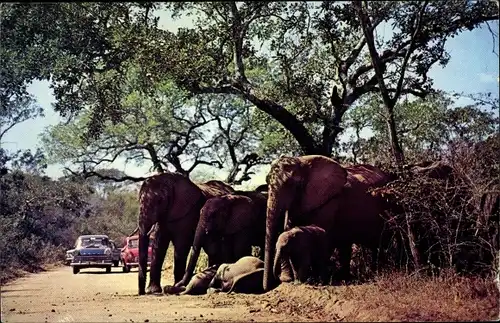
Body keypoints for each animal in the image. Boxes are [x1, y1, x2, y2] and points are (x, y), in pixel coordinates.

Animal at [264, 156, 392, 292]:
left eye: (293, 185)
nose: (267, 287)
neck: (302, 162)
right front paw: (288, 279)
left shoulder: (330, 202)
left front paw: (310, 279)